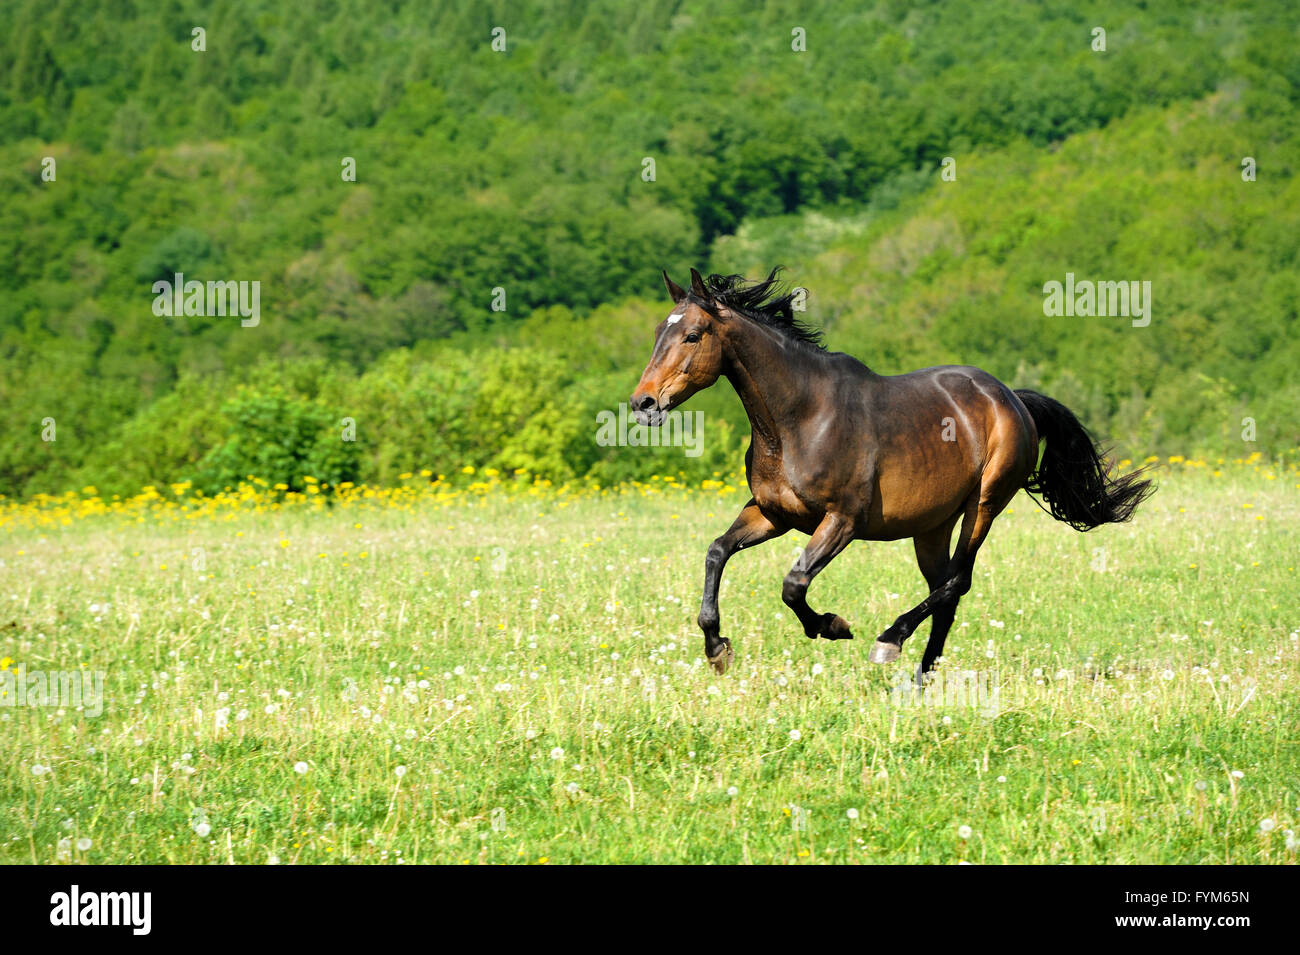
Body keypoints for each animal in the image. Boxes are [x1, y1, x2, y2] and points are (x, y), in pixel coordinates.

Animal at [631, 268, 1159, 686]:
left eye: (693, 335)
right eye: (657, 331)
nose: (643, 403)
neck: (798, 418)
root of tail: (1012, 398)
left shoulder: (842, 520)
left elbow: (793, 584)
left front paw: (833, 626)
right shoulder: (771, 514)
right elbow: (717, 552)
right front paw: (717, 648)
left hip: (984, 505)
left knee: (958, 581)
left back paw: (890, 642)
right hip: (932, 527)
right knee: (946, 591)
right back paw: (921, 676)